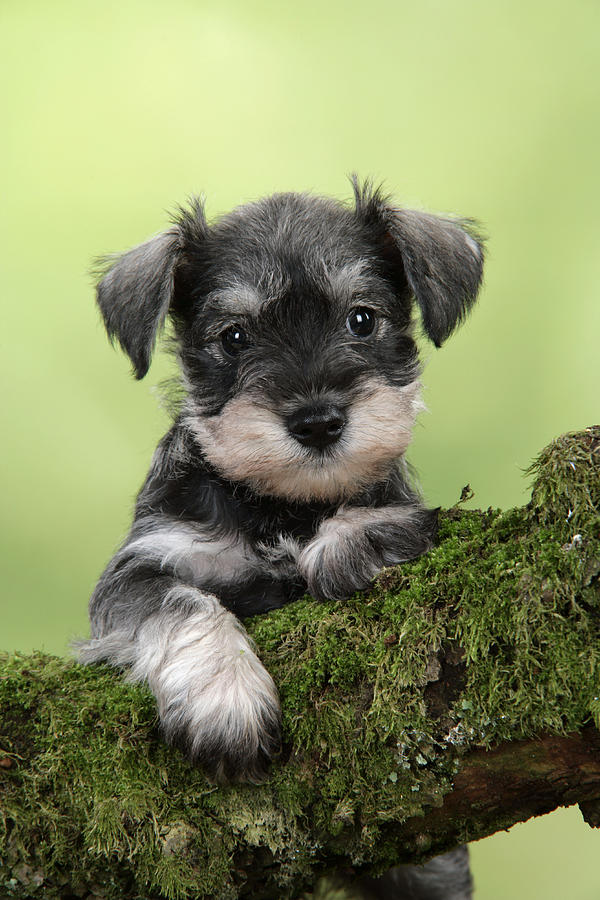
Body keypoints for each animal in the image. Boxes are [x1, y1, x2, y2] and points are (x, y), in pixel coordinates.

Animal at [79, 179, 482, 896]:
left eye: (361, 319)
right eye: (235, 337)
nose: (318, 421)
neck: (279, 507)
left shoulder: (409, 512)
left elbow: (385, 519)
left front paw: (348, 541)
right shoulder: (136, 569)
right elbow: (178, 603)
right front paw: (224, 698)